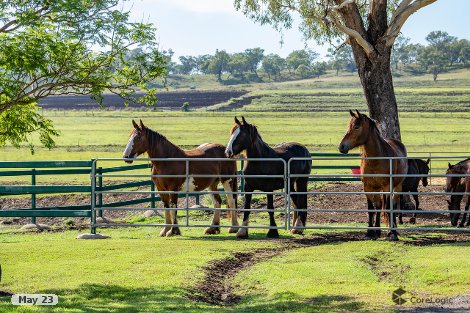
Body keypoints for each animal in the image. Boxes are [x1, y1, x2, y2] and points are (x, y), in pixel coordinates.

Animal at [338, 110, 408, 241]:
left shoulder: (387, 187)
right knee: (379, 206)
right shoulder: (368, 187)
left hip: (397, 187)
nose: (341, 146)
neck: (376, 158)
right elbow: (372, 209)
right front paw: (370, 232)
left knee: (393, 205)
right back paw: (378, 230)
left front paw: (391, 233)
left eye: (356, 126)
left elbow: (388, 208)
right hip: (377, 188)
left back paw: (393, 229)